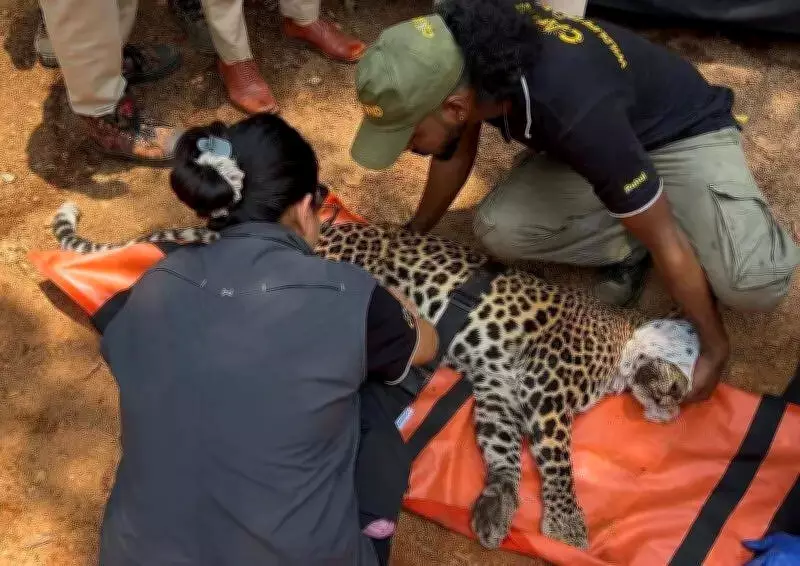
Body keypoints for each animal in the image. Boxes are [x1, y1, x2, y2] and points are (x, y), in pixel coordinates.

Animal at [49, 201, 691, 550]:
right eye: (682, 390)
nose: (674, 415)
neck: (622, 346)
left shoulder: (497, 395)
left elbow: (502, 453)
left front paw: (497, 505)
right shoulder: (547, 395)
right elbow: (559, 465)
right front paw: (566, 523)